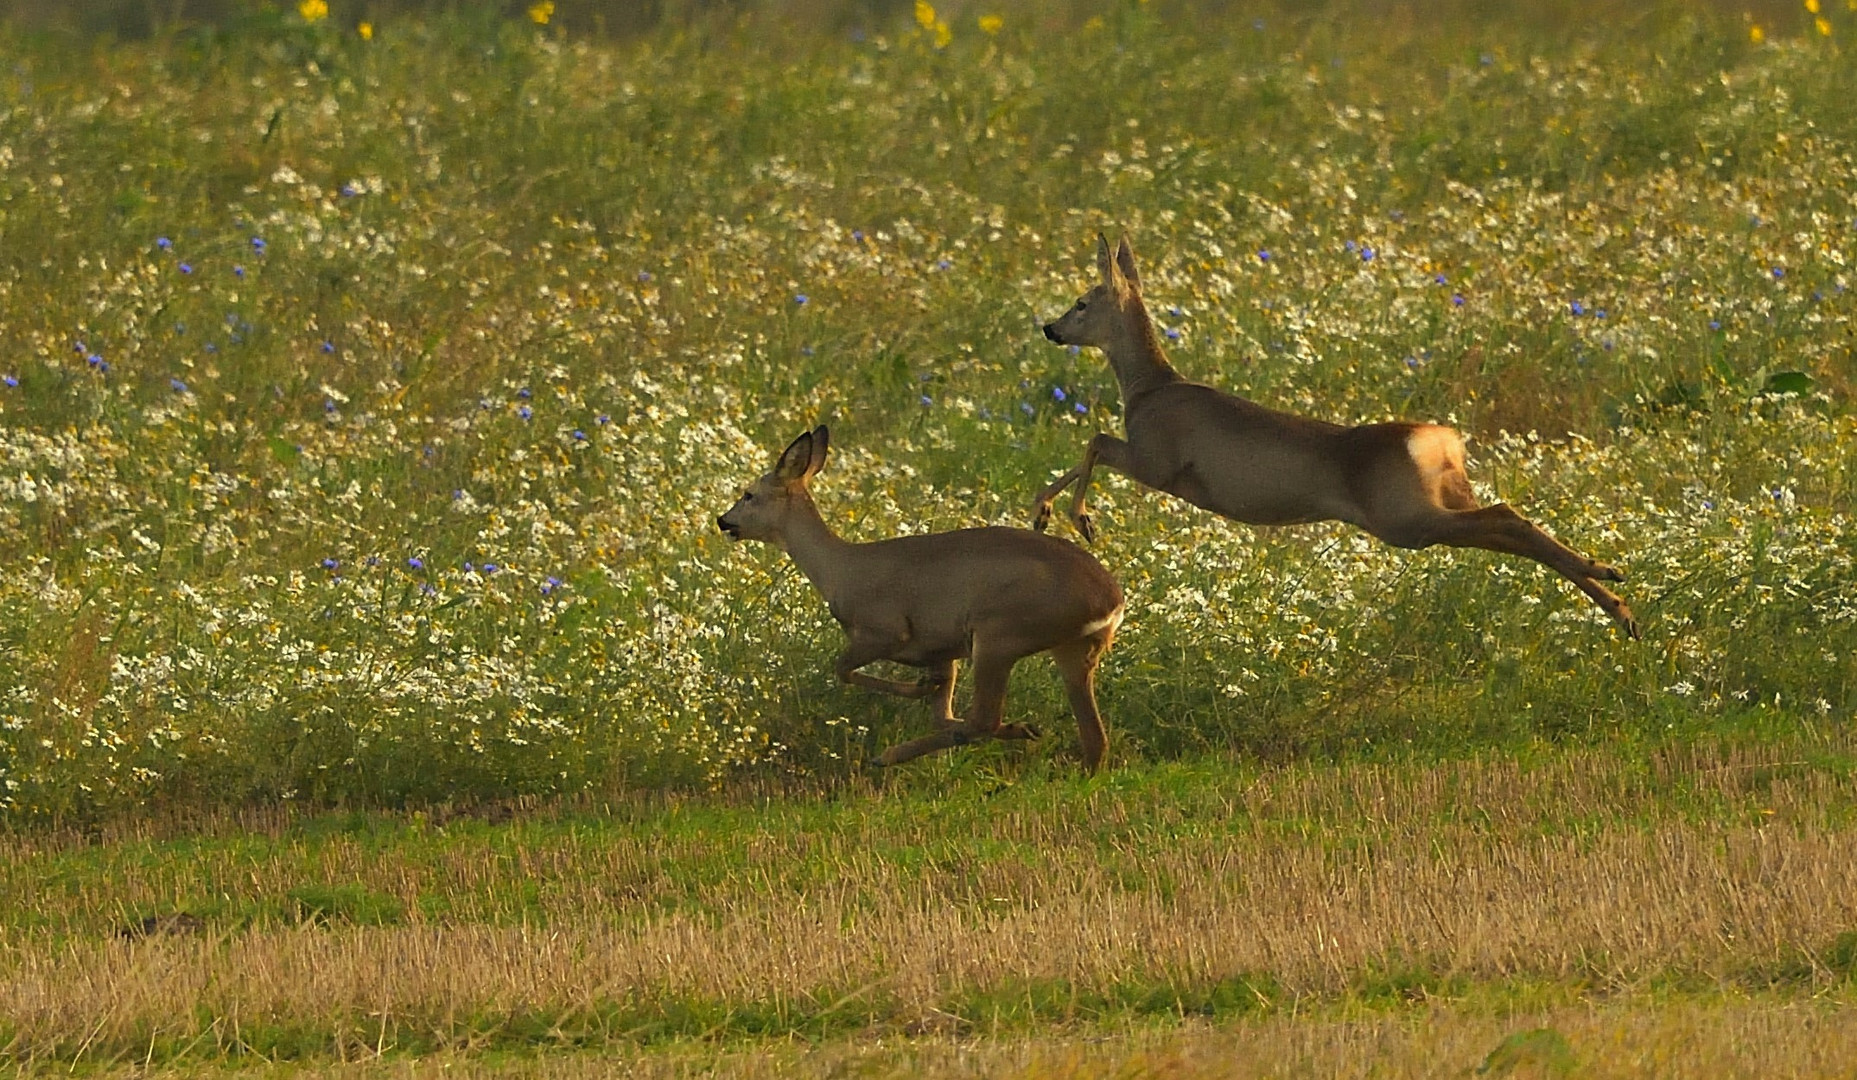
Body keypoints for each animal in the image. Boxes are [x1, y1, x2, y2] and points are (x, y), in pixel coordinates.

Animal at [713, 426, 1121, 775]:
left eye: (748, 494)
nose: (722, 520)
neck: (840, 571)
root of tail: (1110, 603)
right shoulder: (942, 649)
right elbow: (941, 710)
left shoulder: (885, 629)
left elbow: (842, 669)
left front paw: (921, 690)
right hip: (1071, 648)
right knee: (1094, 739)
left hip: (1000, 634)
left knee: (984, 719)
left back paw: (888, 756)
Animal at [1032, 234, 1641, 642]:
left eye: (1082, 301)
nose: (1050, 327)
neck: (1149, 388)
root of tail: (1440, 439)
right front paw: (1043, 514)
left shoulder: (1158, 461)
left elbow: (1095, 440)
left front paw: (1078, 519)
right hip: (1437, 502)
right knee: (1506, 523)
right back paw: (1621, 604)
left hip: (1404, 518)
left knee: (1506, 516)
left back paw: (1611, 585)